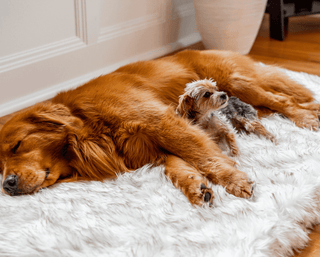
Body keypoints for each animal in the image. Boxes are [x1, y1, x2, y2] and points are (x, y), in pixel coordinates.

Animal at [0, 49, 320, 206]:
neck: (87, 124)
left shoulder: (163, 122)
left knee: (283, 99)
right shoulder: (146, 148)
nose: (7, 185)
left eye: (17, 145)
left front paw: (235, 180)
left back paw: (308, 117)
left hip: (236, 83)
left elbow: (206, 157)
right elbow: (176, 166)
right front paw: (196, 187)